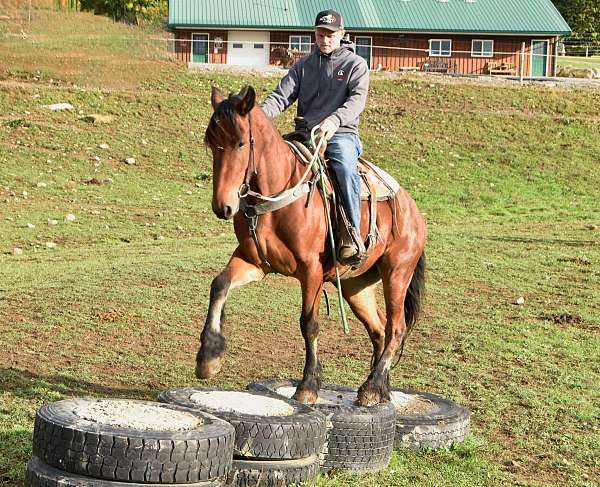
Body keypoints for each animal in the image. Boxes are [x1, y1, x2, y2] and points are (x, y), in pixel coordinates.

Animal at [195, 85, 424, 408]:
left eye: (240, 143)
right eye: (211, 144)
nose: (223, 206)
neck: (278, 194)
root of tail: (413, 209)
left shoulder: (311, 271)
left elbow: (309, 324)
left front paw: (308, 385)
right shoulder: (254, 262)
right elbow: (219, 285)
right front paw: (209, 357)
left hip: (397, 273)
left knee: (396, 328)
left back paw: (372, 388)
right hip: (356, 285)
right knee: (379, 328)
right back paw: (380, 388)